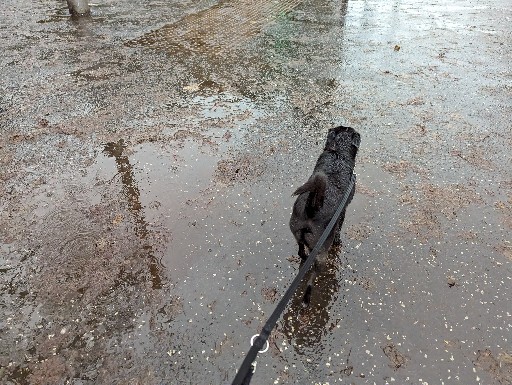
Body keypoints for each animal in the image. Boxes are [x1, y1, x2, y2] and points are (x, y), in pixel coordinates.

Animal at [290, 125, 362, 306]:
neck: (338, 154)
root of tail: (311, 209)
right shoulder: (342, 212)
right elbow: (339, 229)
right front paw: (338, 240)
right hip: (322, 253)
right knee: (312, 278)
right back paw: (307, 298)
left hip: (297, 232)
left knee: (301, 251)